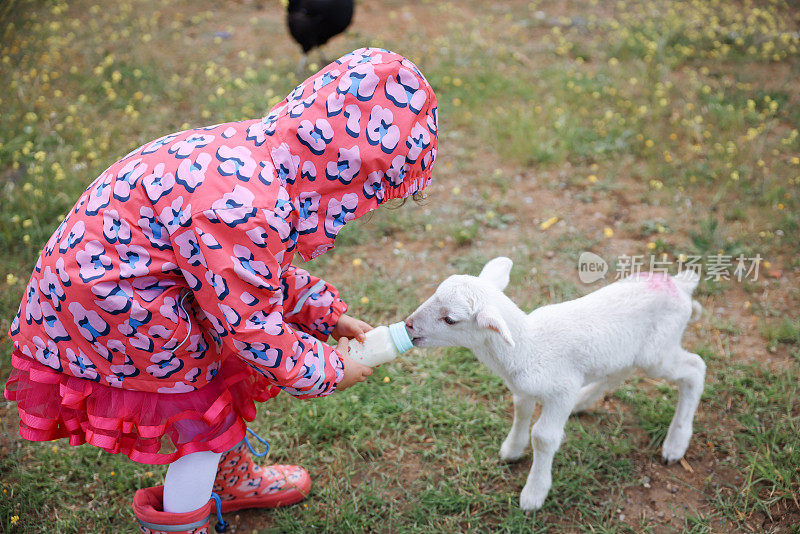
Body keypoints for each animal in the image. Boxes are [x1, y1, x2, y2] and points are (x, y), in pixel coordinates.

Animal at [406, 260, 708, 516]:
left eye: (450, 319)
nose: (408, 325)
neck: (527, 347)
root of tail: (680, 285)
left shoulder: (563, 389)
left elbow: (543, 437)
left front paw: (534, 493)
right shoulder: (524, 388)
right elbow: (520, 411)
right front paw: (512, 449)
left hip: (657, 353)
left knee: (695, 368)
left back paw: (676, 443)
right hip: (628, 352)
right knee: (621, 371)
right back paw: (584, 401)